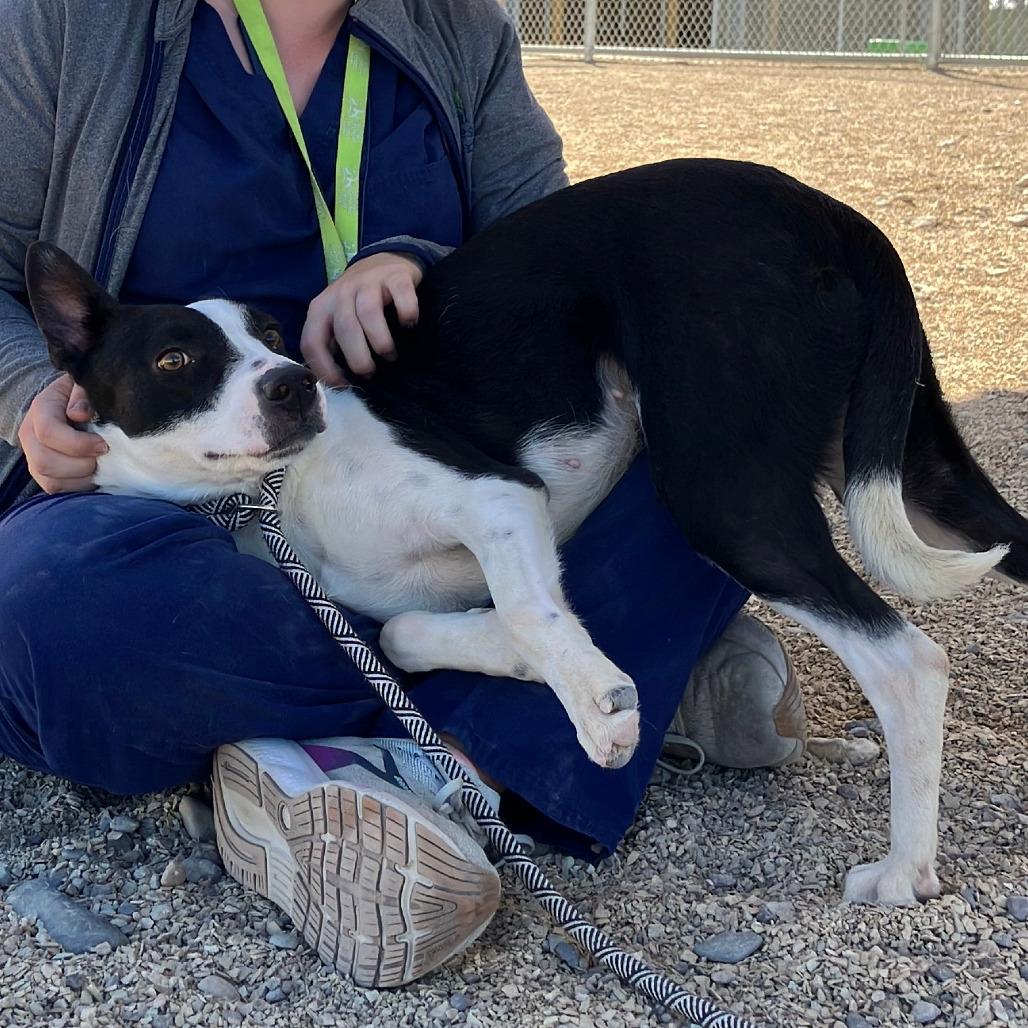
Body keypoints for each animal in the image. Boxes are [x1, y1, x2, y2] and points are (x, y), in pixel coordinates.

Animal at [24, 160, 1028, 908]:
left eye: (273, 334)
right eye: (175, 359)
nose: (293, 385)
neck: (277, 492)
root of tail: (827, 212)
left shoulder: (499, 495)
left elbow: (529, 610)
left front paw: (591, 701)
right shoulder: (431, 571)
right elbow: (415, 629)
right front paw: (522, 657)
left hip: (718, 487)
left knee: (908, 661)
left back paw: (903, 872)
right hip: (925, 471)